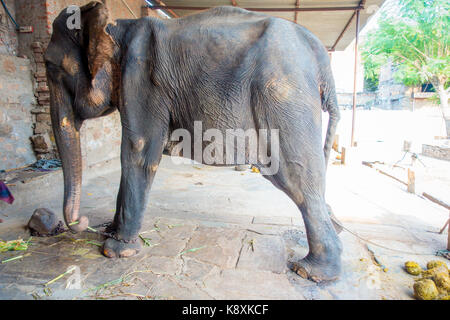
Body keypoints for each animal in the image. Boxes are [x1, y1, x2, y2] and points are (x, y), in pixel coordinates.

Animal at [44, 2, 342, 282]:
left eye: (51, 67)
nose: (83, 222)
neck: (115, 27)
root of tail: (321, 56)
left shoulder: (141, 81)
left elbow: (138, 151)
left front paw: (115, 251)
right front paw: (111, 233)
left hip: (284, 99)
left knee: (296, 178)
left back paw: (311, 271)